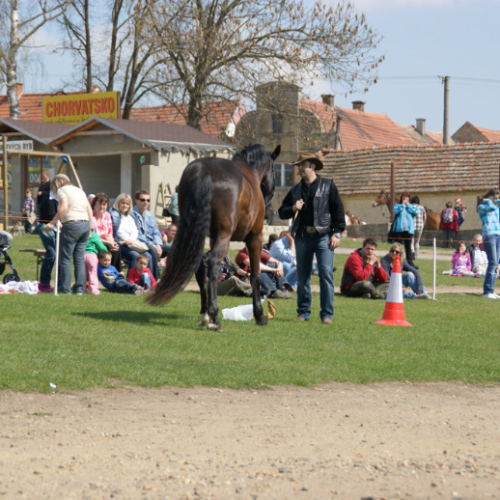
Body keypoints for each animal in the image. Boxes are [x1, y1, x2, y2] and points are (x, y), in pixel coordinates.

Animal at [147, 145, 282, 330]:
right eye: (274, 170)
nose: (269, 211)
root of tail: (203, 171)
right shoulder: (255, 237)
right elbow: (256, 276)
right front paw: (260, 315)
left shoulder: (211, 237)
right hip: (224, 236)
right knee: (212, 264)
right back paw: (214, 317)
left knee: (200, 266)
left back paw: (205, 315)